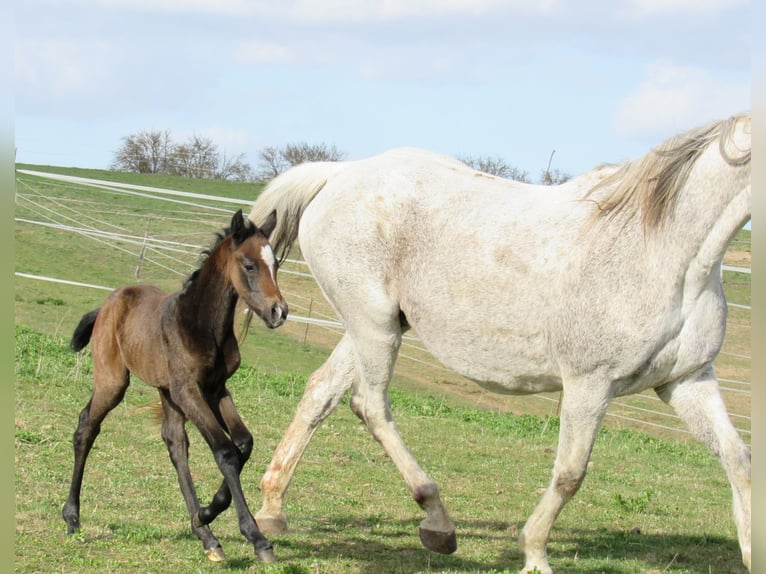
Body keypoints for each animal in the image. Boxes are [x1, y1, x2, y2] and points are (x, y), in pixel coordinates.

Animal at [62, 209, 288, 565]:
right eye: (249, 265)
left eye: (276, 263)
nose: (279, 311)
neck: (202, 324)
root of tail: (109, 302)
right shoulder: (189, 389)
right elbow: (225, 451)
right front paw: (257, 538)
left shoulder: (216, 389)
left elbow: (243, 444)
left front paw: (206, 512)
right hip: (114, 381)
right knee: (87, 426)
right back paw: (72, 519)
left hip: (166, 392)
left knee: (175, 443)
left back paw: (205, 535)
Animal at [247, 113, 751, 573]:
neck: (661, 252)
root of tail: (338, 173)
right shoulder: (590, 383)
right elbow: (570, 474)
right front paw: (535, 555)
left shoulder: (687, 381)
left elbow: (739, 458)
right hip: (374, 328)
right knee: (370, 406)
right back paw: (438, 523)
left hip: (376, 327)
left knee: (321, 392)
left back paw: (273, 510)